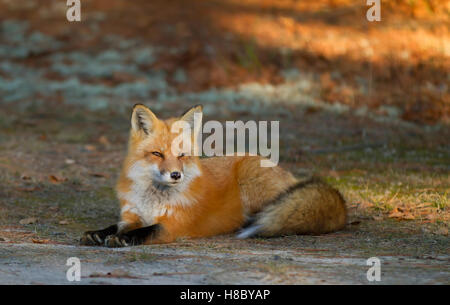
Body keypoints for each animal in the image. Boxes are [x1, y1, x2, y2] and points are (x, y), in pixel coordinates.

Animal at [81, 104, 348, 247]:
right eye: (157, 154)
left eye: (182, 155)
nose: (176, 175)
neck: (153, 199)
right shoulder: (131, 214)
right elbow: (116, 226)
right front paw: (99, 233)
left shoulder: (174, 225)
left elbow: (146, 230)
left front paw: (123, 238)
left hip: (250, 183)